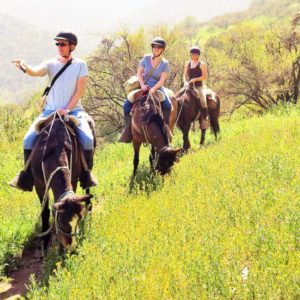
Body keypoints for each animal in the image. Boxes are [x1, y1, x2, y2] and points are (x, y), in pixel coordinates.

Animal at [29, 116, 92, 252]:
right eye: (62, 222)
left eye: (79, 219)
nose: (71, 248)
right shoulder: (40, 185)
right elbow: (45, 211)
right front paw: (45, 240)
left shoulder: (73, 178)